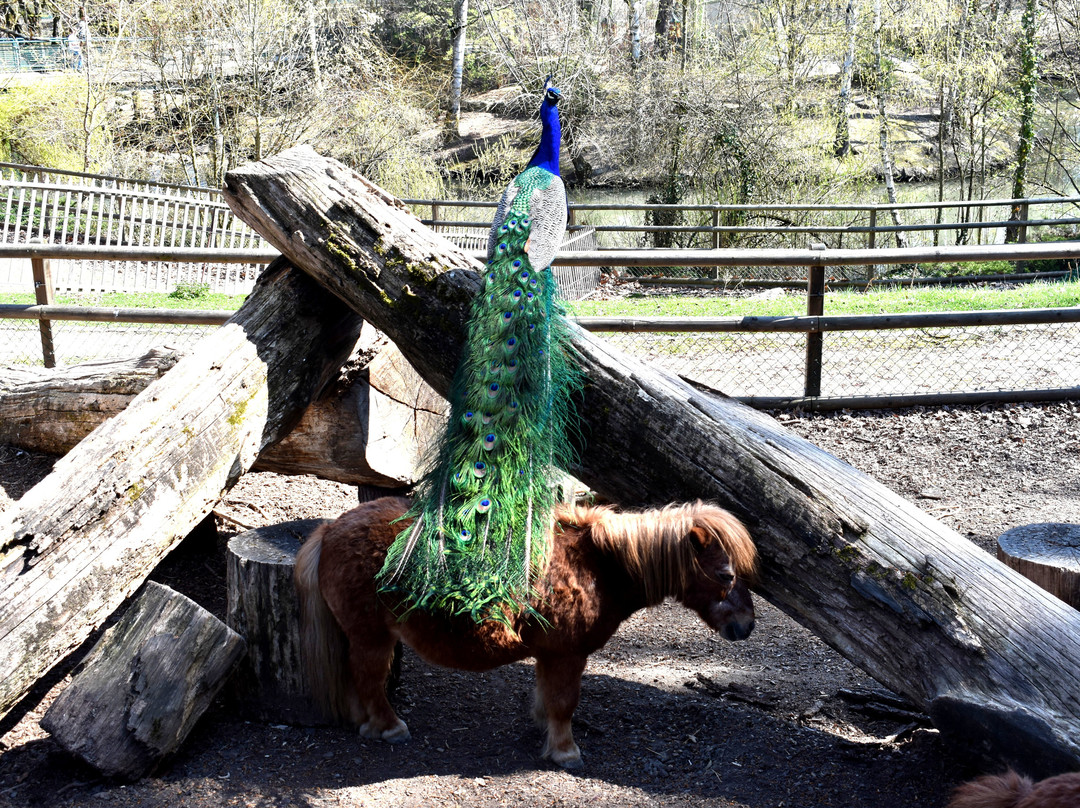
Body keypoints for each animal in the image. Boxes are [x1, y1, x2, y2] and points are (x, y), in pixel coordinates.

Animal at [291, 494, 756, 769]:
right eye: (726, 574)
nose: (745, 626)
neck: (598, 565)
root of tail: (330, 529)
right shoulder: (568, 655)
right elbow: (564, 702)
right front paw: (565, 752)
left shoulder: (551, 655)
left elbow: (547, 697)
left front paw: (544, 730)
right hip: (373, 638)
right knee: (369, 680)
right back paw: (388, 727)